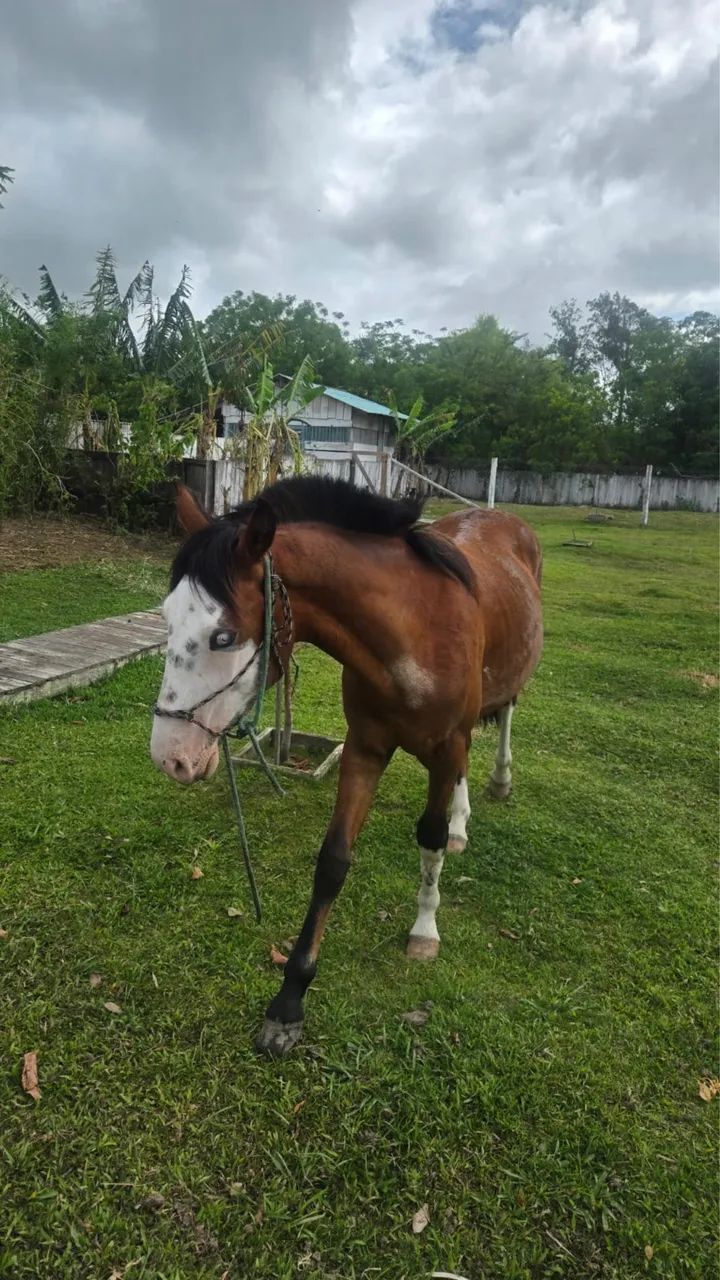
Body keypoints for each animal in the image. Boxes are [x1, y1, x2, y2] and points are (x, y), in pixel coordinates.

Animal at [150, 476, 543, 1057]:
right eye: (166, 621)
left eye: (222, 637)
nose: (170, 756)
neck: (414, 632)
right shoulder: (364, 748)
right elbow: (333, 861)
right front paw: (289, 1001)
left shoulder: (445, 747)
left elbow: (428, 837)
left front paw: (424, 928)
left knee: (505, 718)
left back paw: (497, 782)